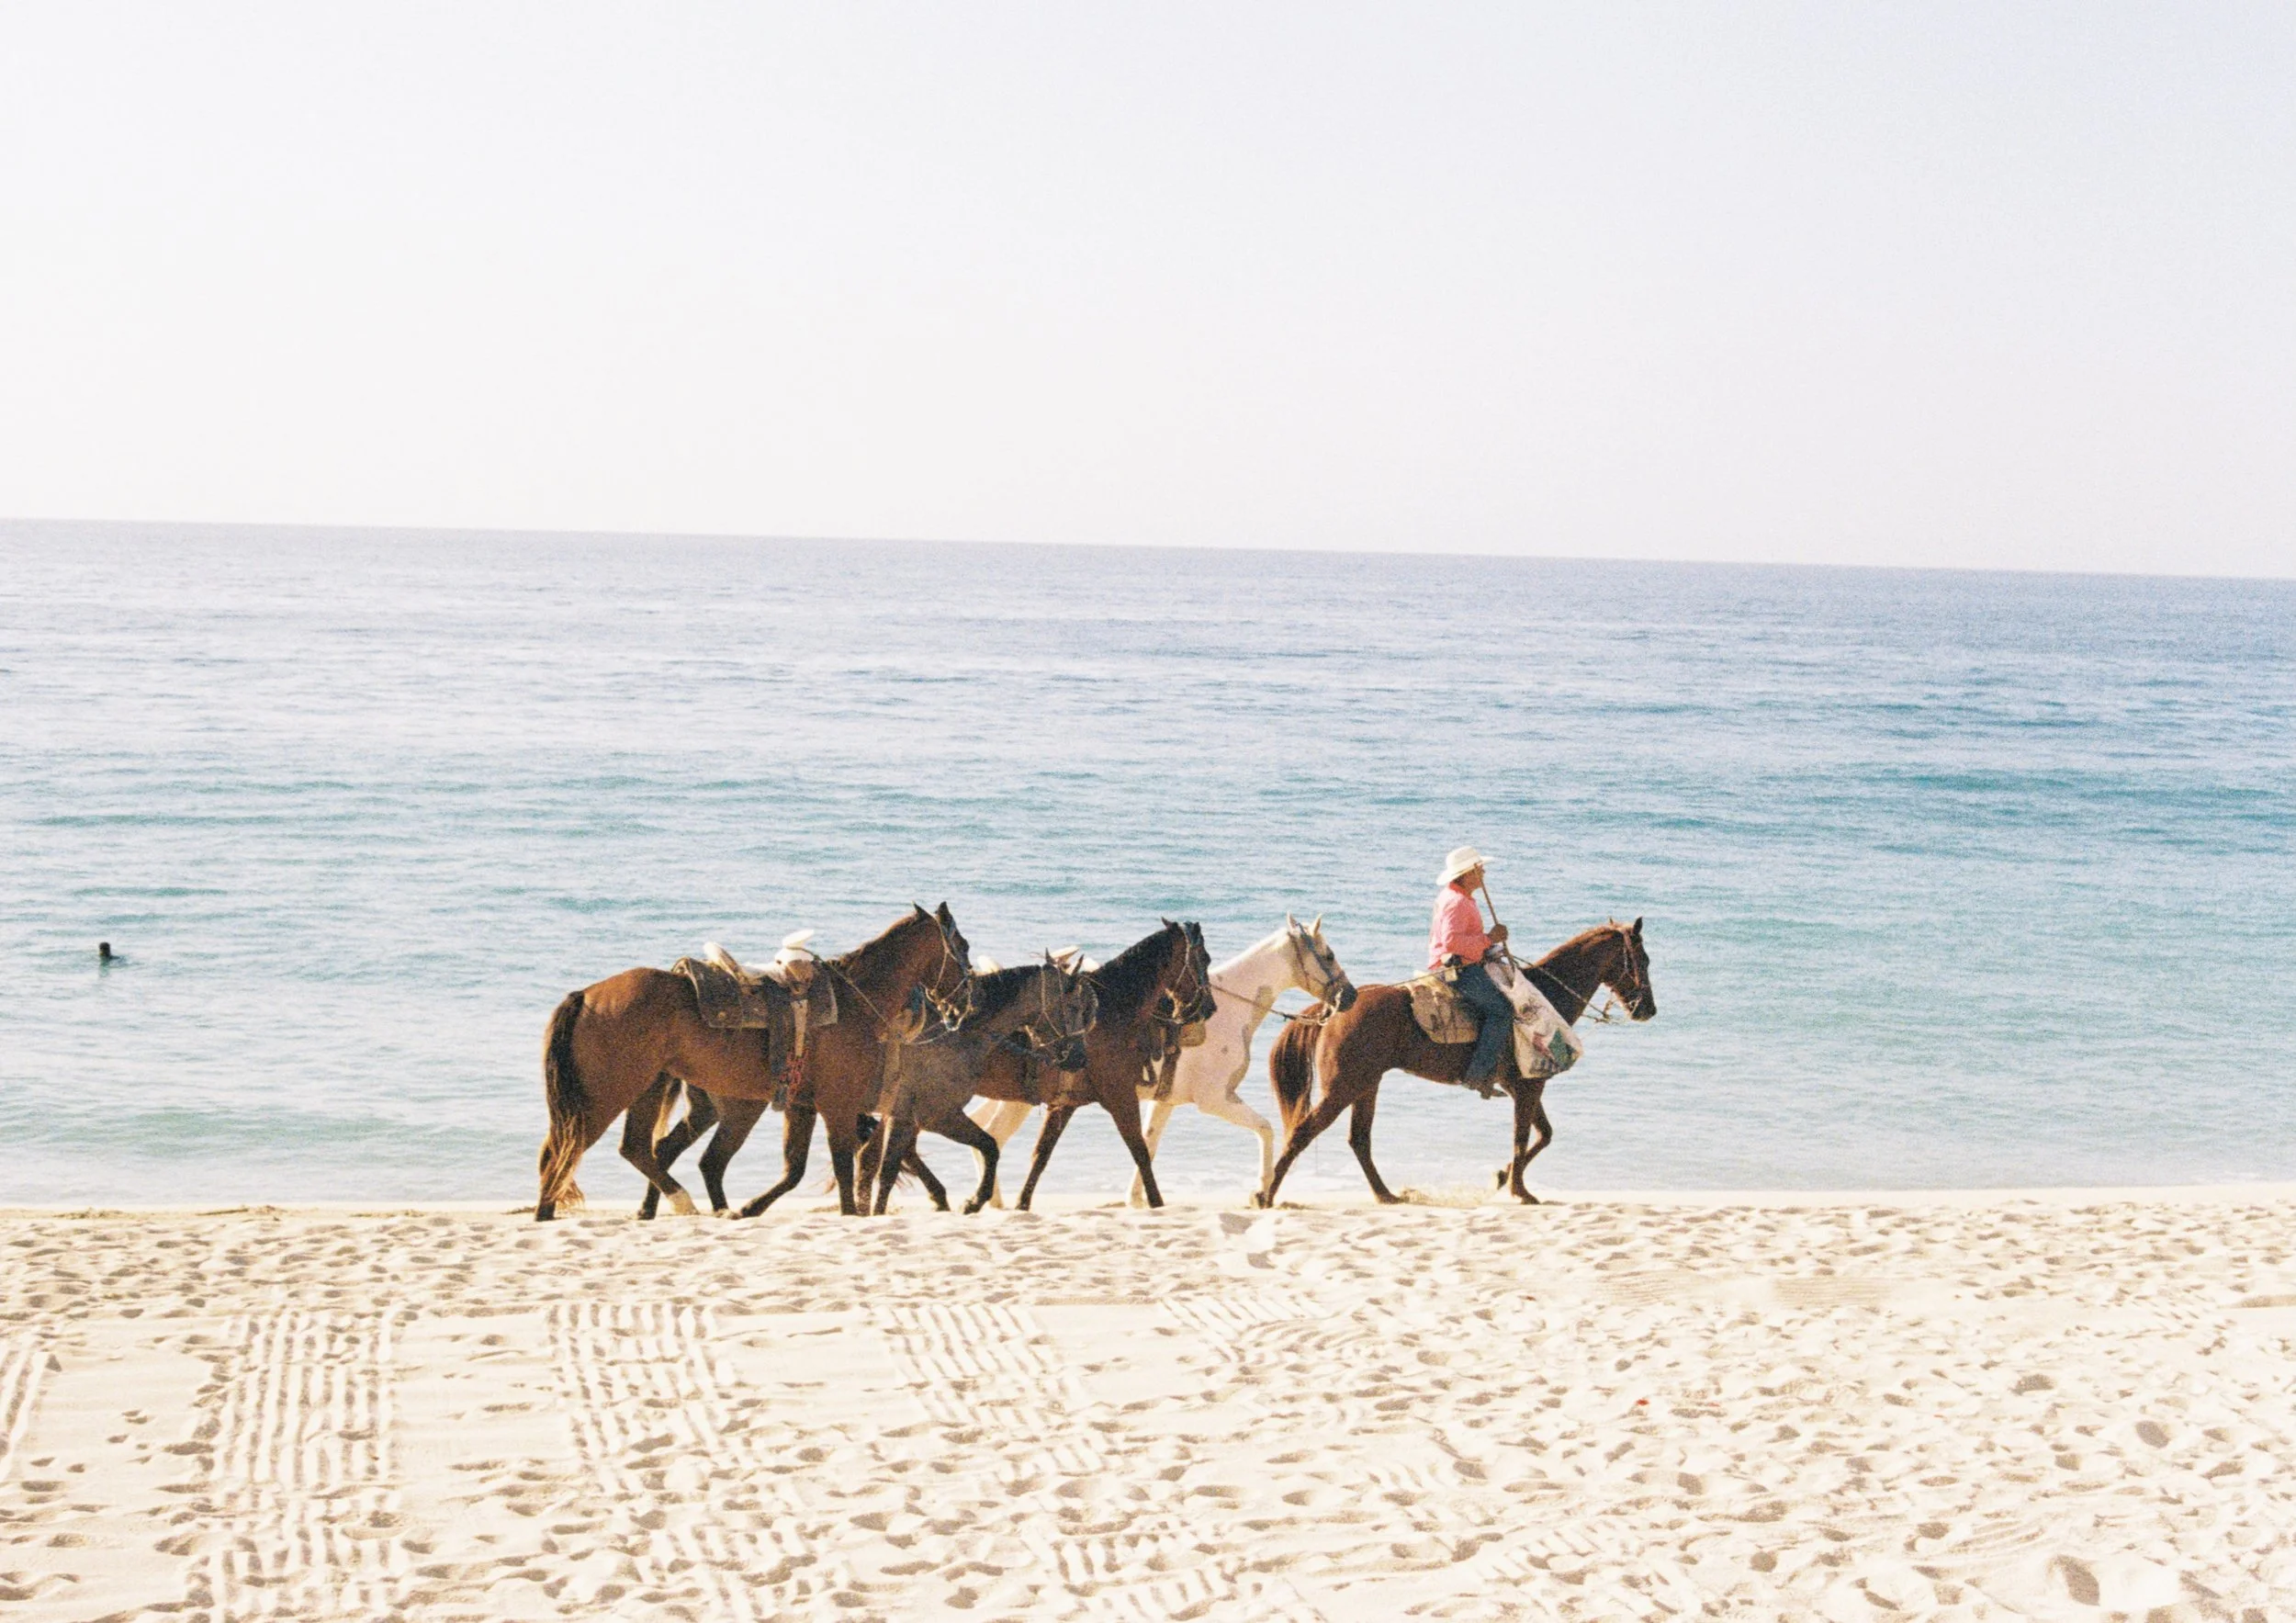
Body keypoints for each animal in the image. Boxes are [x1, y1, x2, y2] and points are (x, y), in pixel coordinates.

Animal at [533, 903, 970, 1220]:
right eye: (962, 947)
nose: (962, 1006)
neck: (854, 1000)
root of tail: (586, 995)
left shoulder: (802, 1106)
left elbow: (796, 1169)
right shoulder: (838, 1104)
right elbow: (843, 1164)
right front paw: (850, 1214)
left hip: (650, 1089)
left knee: (637, 1149)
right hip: (606, 1096)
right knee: (564, 1154)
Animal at [867, 956, 1100, 1215]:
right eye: (1075, 1007)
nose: (1079, 1058)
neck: (953, 1034)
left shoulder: (910, 1117)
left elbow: (988, 1145)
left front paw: (974, 1200)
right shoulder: (936, 1116)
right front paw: (975, 1200)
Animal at [972, 915, 1357, 1207]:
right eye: (1328, 954)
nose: (1350, 995)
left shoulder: (1163, 1101)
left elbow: (1148, 1143)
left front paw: (1137, 1200)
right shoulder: (1215, 1100)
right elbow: (1265, 1129)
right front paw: (1260, 1191)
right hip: (1017, 1102)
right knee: (993, 1135)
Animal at [1255, 919, 1655, 1208]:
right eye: (1644, 960)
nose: (1647, 1010)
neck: (1545, 995)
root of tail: (1334, 1008)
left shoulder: (1522, 1087)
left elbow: (1542, 1136)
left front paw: (1502, 1177)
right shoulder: (1529, 1086)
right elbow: (1524, 1137)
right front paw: (1520, 1191)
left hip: (1366, 1085)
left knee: (1359, 1140)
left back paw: (1386, 1195)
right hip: (1343, 1087)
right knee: (1304, 1133)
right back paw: (1267, 1195)